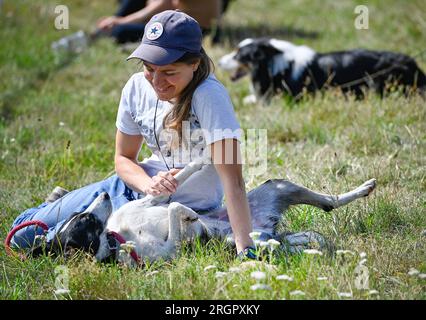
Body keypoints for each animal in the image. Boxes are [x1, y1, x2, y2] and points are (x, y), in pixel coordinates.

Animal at [35, 161, 378, 266]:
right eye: (86, 220)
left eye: (79, 214)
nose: (105, 195)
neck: (120, 238)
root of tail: (267, 229)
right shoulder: (170, 250)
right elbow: (176, 209)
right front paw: (189, 215)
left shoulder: (150, 200)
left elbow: (176, 181)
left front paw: (203, 160)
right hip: (262, 243)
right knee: (302, 241)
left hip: (279, 187)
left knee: (329, 203)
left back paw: (364, 188)